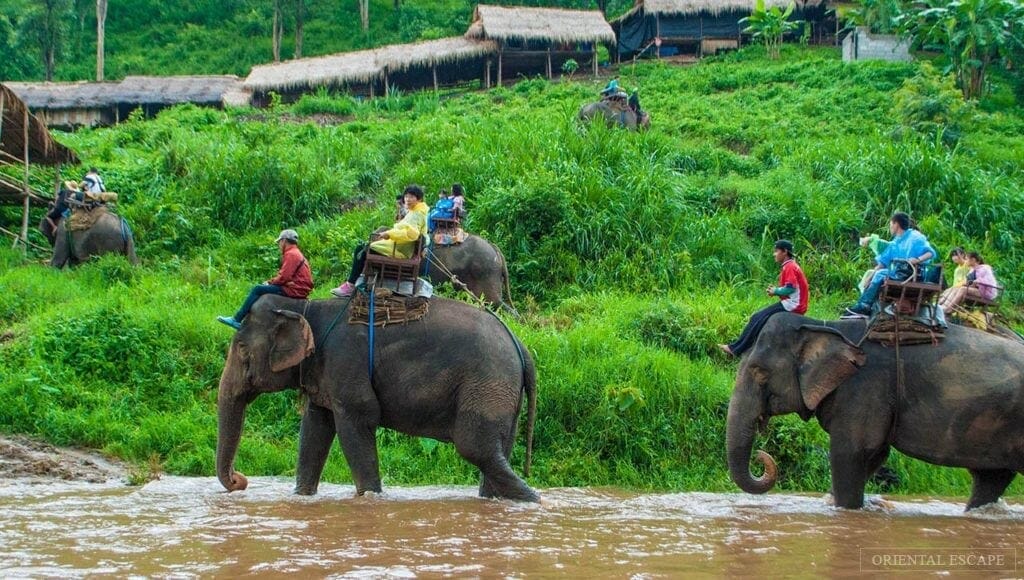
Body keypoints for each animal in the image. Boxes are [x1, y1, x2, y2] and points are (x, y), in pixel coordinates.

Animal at [729, 315, 1024, 512]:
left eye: (759, 372)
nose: (761, 455)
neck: (826, 326)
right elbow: (874, 455)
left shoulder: (865, 387)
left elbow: (850, 454)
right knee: (990, 478)